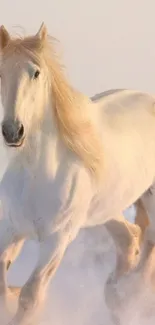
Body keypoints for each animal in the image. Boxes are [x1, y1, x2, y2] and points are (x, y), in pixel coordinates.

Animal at [0, 21, 154, 322]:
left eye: (36, 73)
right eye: (0, 72)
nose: (13, 131)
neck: (36, 176)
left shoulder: (57, 240)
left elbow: (30, 297)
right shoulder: (11, 228)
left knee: (147, 241)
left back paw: (129, 297)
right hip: (106, 209)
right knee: (129, 238)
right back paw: (117, 294)